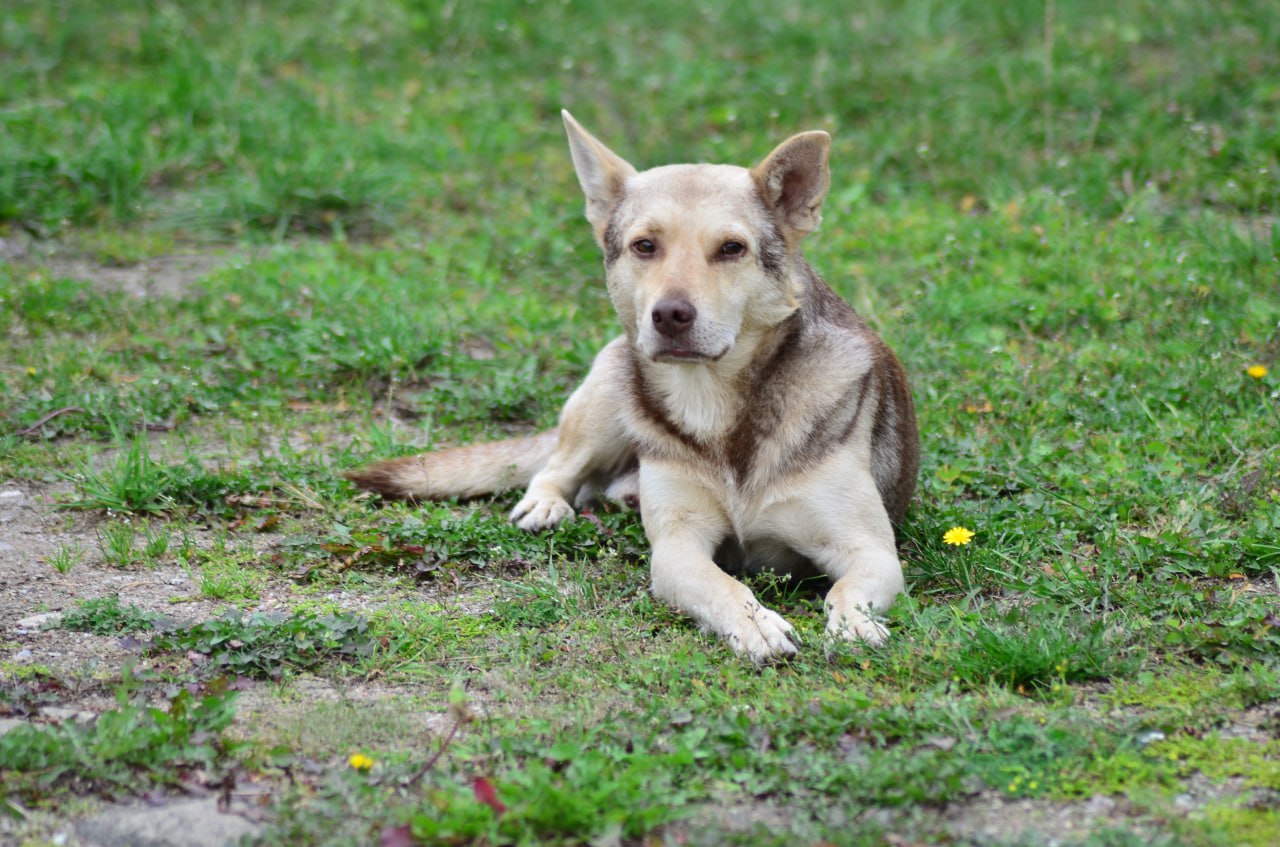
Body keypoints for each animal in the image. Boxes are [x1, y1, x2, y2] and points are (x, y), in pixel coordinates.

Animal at [345, 111, 916, 665]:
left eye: (732, 249)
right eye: (645, 245)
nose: (670, 315)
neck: (716, 401)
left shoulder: (868, 549)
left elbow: (844, 590)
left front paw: (854, 625)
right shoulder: (678, 546)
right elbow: (722, 585)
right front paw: (755, 624)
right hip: (608, 395)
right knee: (558, 466)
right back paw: (548, 504)